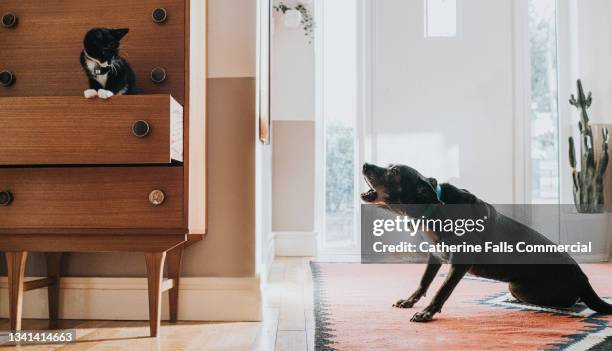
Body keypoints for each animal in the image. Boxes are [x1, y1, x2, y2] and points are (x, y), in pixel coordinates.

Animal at [360, 164, 608, 324]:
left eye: (394, 171)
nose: (364, 164)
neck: (433, 207)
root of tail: (583, 279)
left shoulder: (459, 263)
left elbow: (442, 290)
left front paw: (427, 313)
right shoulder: (435, 256)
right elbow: (424, 282)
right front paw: (410, 301)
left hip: (519, 285)